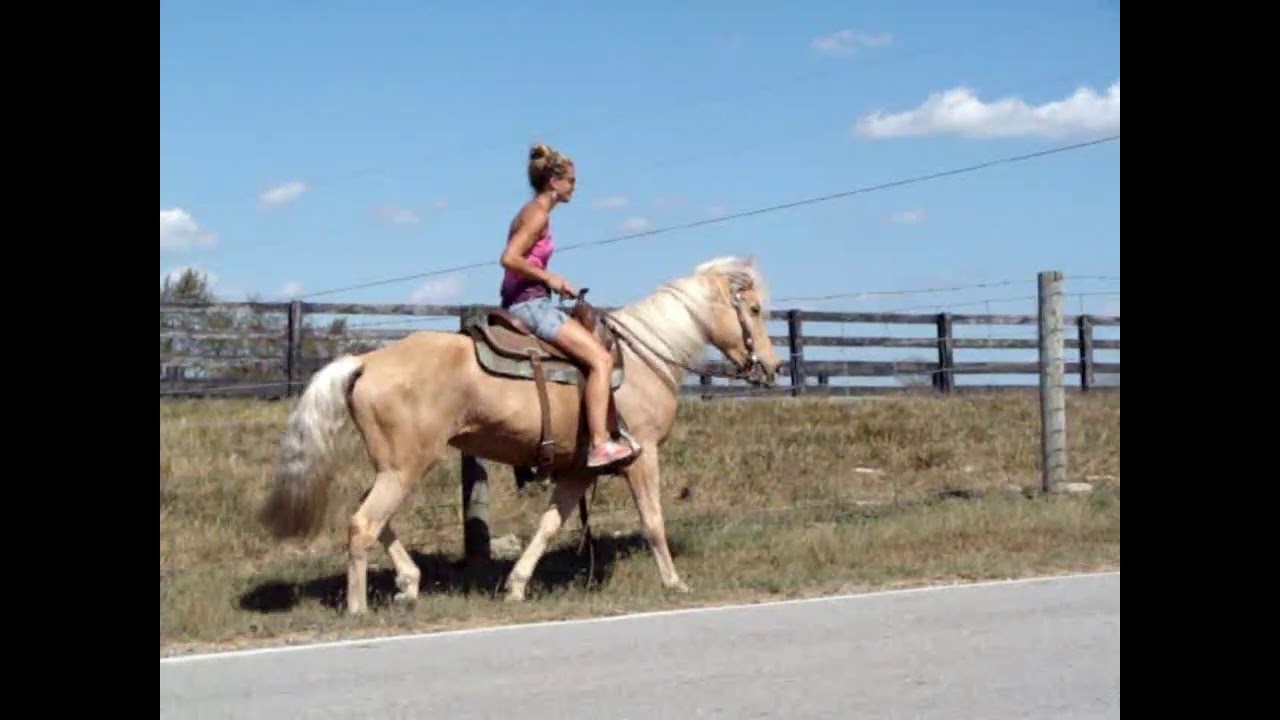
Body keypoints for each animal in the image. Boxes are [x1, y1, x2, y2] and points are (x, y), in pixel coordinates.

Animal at [256, 255, 784, 613]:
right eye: (755, 309)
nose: (773, 366)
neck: (639, 360)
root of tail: (366, 361)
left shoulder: (577, 470)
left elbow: (549, 525)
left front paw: (515, 586)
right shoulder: (642, 456)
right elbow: (653, 520)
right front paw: (674, 583)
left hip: (394, 466)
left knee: (370, 516)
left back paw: (408, 583)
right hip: (406, 466)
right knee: (363, 523)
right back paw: (360, 607)